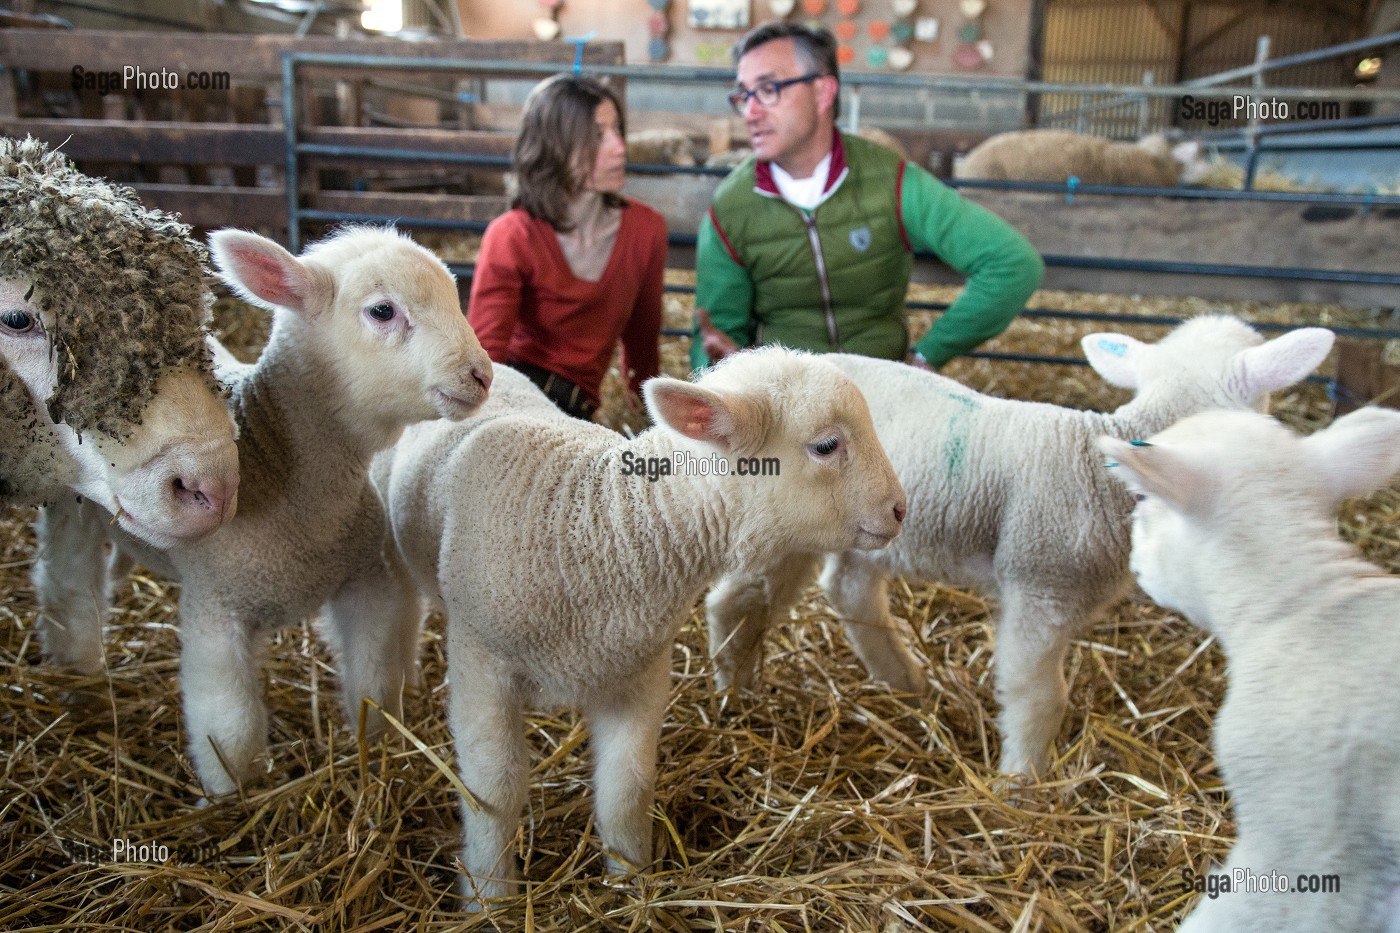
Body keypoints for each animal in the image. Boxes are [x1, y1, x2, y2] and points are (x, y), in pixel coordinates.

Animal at [31, 226, 494, 796]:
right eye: (383, 311)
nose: (481, 375)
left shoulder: (368, 581)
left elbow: (374, 682)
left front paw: (379, 750)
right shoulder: (217, 610)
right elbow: (230, 729)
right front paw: (230, 798)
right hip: (69, 504)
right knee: (66, 582)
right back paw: (77, 670)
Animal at [375, 349, 906, 906]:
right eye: (826, 445)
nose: (900, 510)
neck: (600, 527)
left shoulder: (639, 675)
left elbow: (626, 790)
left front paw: (630, 887)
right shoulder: (482, 665)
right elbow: (494, 791)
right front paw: (490, 897)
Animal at [704, 316, 1335, 777]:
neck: (1109, 463)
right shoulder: (1042, 583)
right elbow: (1039, 694)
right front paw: (1023, 781)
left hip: (867, 535)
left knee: (848, 593)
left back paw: (904, 683)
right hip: (781, 529)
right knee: (734, 600)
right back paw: (734, 692)